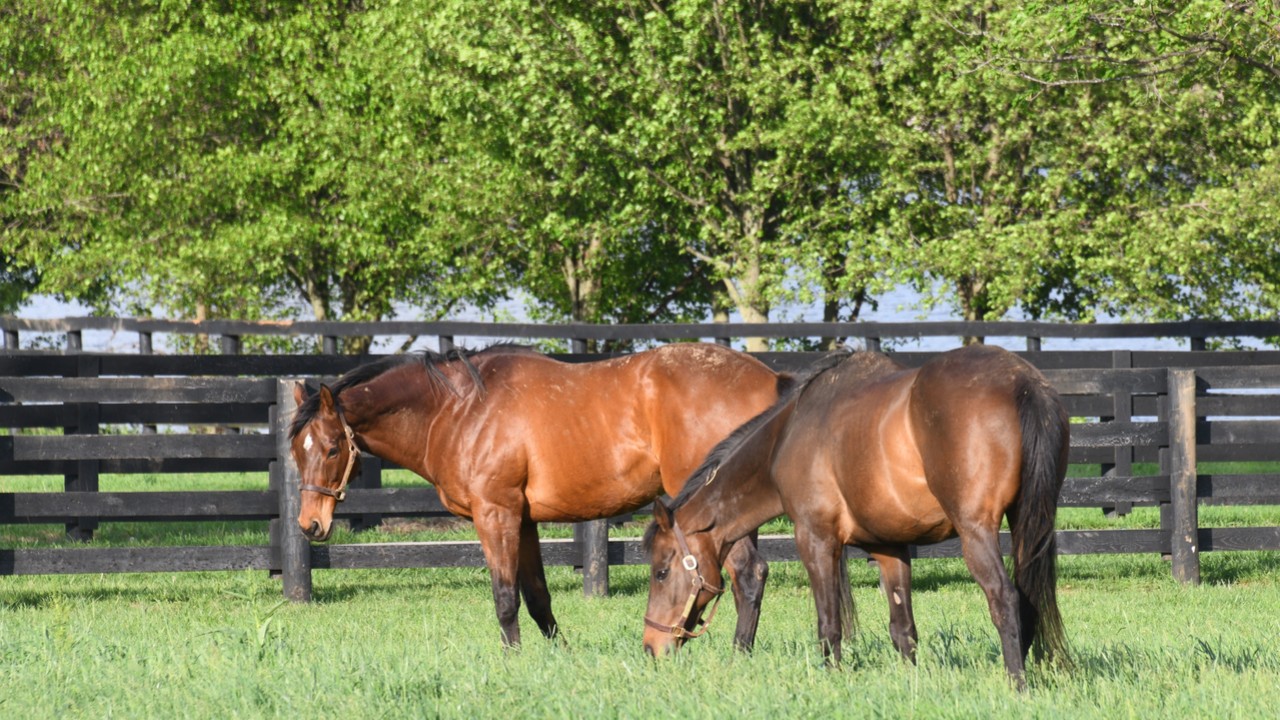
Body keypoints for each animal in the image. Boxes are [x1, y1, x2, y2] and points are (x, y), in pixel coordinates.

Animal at [290, 340, 788, 645]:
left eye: (332, 448)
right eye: (297, 449)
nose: (310, 524)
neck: (460, 409)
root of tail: (769, 378)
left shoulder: (495, 514)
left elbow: (505, 597)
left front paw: (512, 660)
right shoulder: (523, 519)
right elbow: (537, 598)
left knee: (748, 575)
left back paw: (738, 654)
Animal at [640, 345, 1070, 681]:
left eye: (661, 571)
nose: (650, 647)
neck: (787, 435)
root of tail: (1021, 382)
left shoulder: (815, 539)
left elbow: (829, 624)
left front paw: (833, 679)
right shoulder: (889, 547)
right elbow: (903, 629)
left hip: (976, 532)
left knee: (1005, 599)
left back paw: (1017, 684)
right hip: (1028, 523)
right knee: (1030, 599)